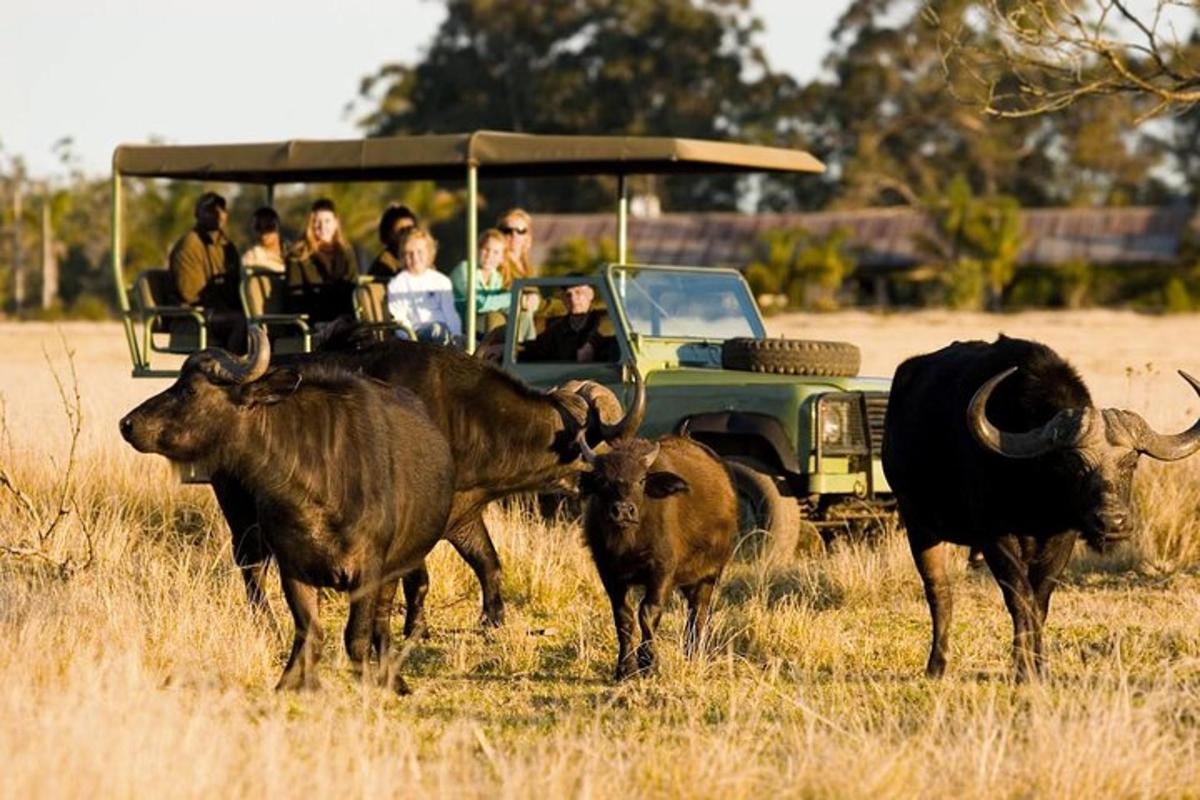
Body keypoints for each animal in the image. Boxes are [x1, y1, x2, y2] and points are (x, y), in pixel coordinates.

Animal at [120, 328, 453, 690]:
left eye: (190, 389)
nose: (127, 424)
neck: (315, 489)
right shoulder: (293, 568)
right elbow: (309, 632)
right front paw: (292, 683)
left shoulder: (369, 570)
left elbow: (356, 636)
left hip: (398, 565)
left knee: (381, 622)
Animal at [214, 331, 648, 638]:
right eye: (600, 446)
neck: (462, 416)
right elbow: (419, 579)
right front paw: (415, 629)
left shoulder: (462, 515)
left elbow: (488, 563)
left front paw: (492, 620)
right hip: (242, 513)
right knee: (252, 566)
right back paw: (266, 623)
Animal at [576, 434, 734, 681]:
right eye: (602, 480)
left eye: (641, 480)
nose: (623, 511)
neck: (628, 541)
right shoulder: (609, 573)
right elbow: (624, 617)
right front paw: (625, 668)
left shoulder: (662, 570)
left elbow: (648, 612)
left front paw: (649, 663)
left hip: (710, 573)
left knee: (698, 610)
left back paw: (693, 653)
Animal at [883, 335, 1200, 681]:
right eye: (1073, 461)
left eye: (1131, 461)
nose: (1112, 522)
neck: (1037, 496)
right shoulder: (996, 540)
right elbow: (1019, 599)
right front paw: (1023, 669)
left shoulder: (1063, 539)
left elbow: (1040, 601)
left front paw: (1039, 666)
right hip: (919, 525)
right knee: (939, 592)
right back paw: (936, 665)